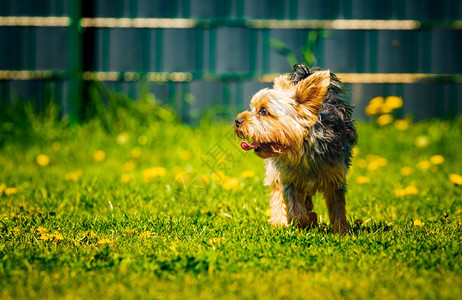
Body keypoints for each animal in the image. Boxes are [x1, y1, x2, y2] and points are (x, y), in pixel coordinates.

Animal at [235, 65, 358, 234]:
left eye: (264, 111)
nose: (237, 121)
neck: (301, 150)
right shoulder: (288, 179)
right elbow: (296, 211)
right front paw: (309, 219)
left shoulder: (336, 178)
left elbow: (338, 207)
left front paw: (341, 232)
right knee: (278, 194)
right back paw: (279, 222)